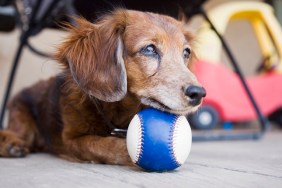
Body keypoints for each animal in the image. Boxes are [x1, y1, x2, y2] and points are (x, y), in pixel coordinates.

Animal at [0, 9, 205, 165]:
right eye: (149, 49)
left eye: (186, 52)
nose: (199, 93)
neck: (117, 114)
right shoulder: (72, 140)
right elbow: (103, 144)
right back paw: (11, 144)